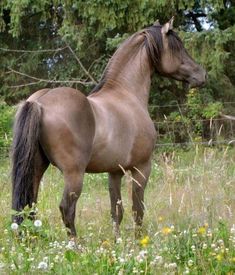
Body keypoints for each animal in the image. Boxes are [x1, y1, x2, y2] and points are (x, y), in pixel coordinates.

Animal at [11, 17, 206, 239]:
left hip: (36, 167)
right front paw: (139, 241)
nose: (202, 74)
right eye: (177, 47)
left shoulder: (114, 172)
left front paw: (117, 241)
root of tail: (40, 103)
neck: (126, 95)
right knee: (66, 209)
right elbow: (137, 210)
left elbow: (117, 211)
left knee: (28, 207)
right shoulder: (141, 168)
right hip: (73, 174)